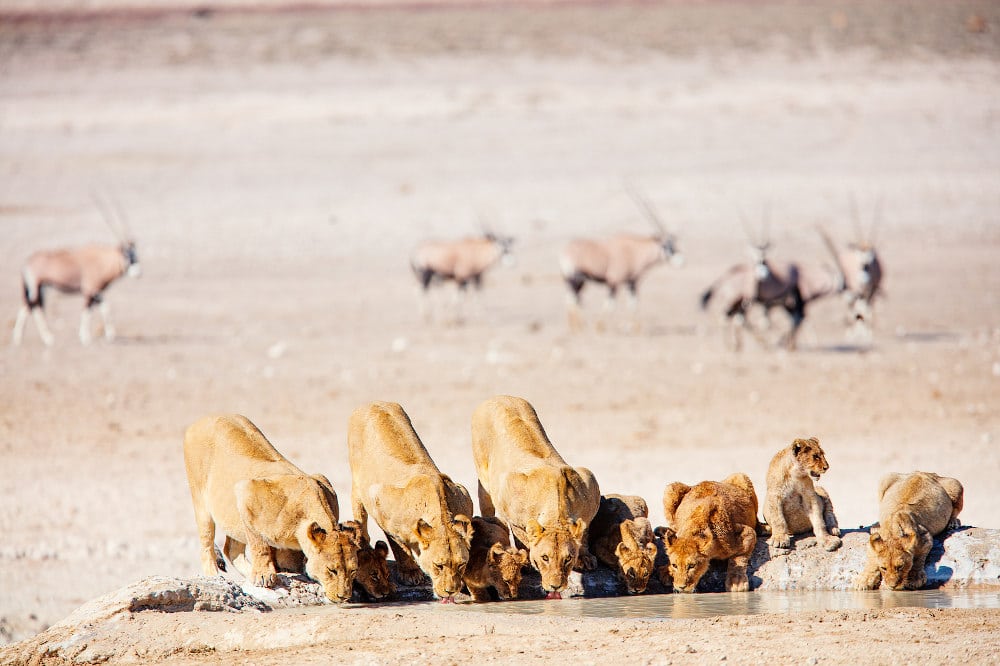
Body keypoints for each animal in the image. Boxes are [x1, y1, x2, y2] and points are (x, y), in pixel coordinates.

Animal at [182, 410, 362, 600]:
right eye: (331, 570)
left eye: (353, 571)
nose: (344, 596)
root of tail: (203, 419)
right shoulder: (246, 491)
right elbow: (259, 544)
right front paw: (263, 575)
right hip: (202, 503)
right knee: (207, 545)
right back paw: (216, 576)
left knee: (231, 549)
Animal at [348, 400, 476, 600]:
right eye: (438, 566)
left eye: (461, 565)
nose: (451, 591)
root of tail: (373, 403)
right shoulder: (382, 507)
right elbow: (399, 546)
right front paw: (410, 573)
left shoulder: (463, 494)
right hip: (358, 484)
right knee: (360, 516)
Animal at [470, 394, 600, 596]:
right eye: (545, 557)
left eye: (568, 558)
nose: (556, 586)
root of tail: (500, 396)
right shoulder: (512, 511)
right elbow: (522, 538)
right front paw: (528, 562)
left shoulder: (588, 481)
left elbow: (583, 530)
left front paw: (585, 557)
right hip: (484, 479)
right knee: (487, 507)